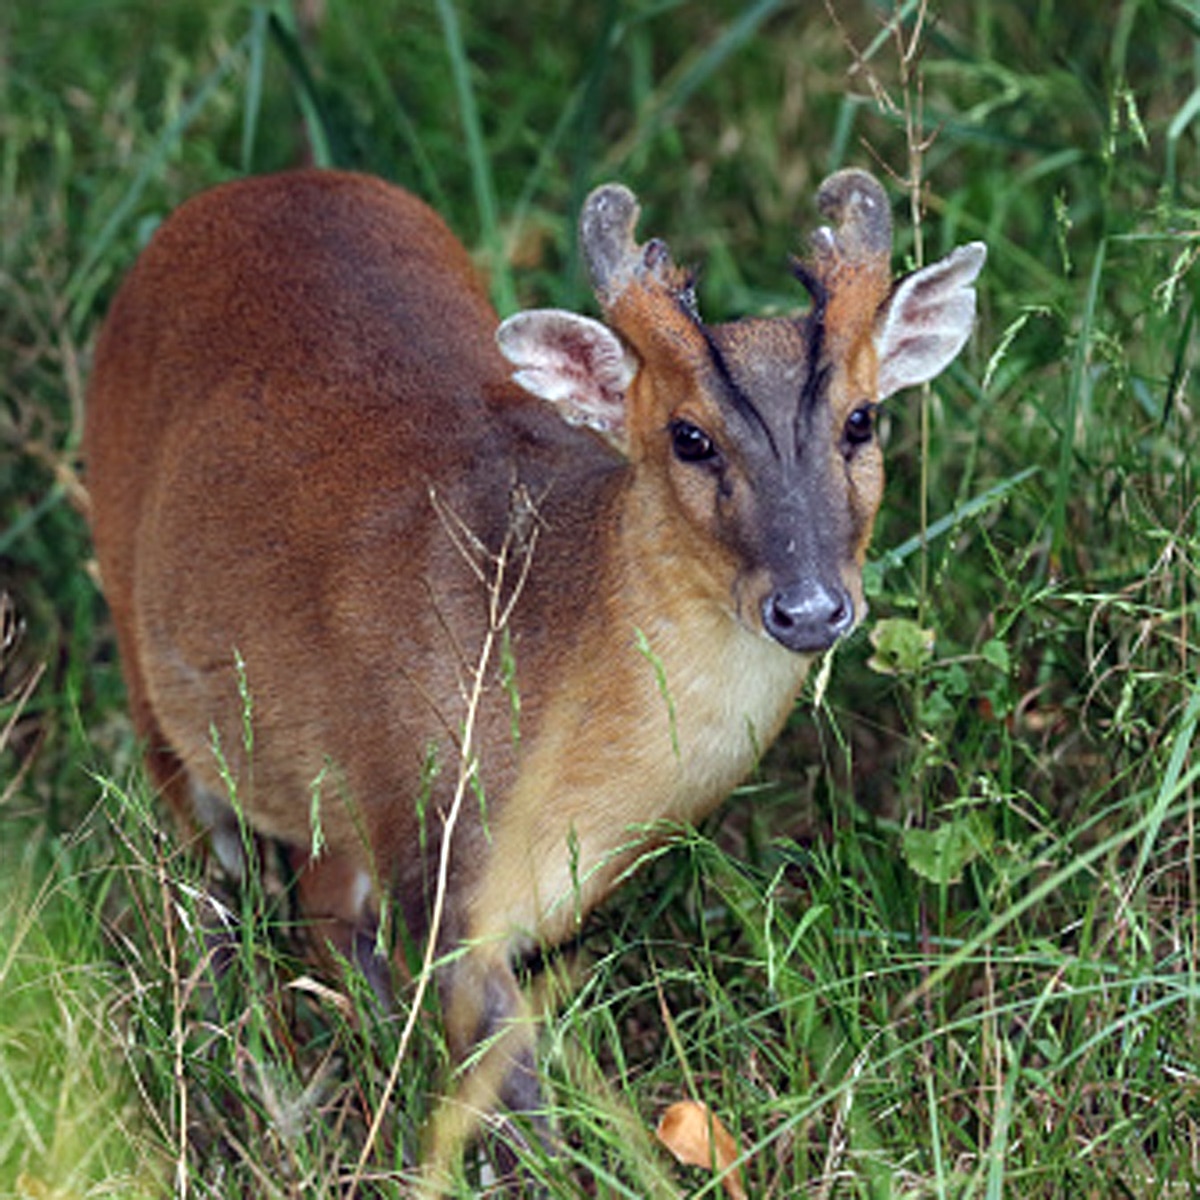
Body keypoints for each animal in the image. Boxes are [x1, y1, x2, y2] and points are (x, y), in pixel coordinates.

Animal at [84, 165, 984, 1188]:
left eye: (862, 419)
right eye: (689, 436)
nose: (809, 608)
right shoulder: (441, 861)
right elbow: (516, 1100)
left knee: (322, 914)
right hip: (140, 640)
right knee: (213, 882)